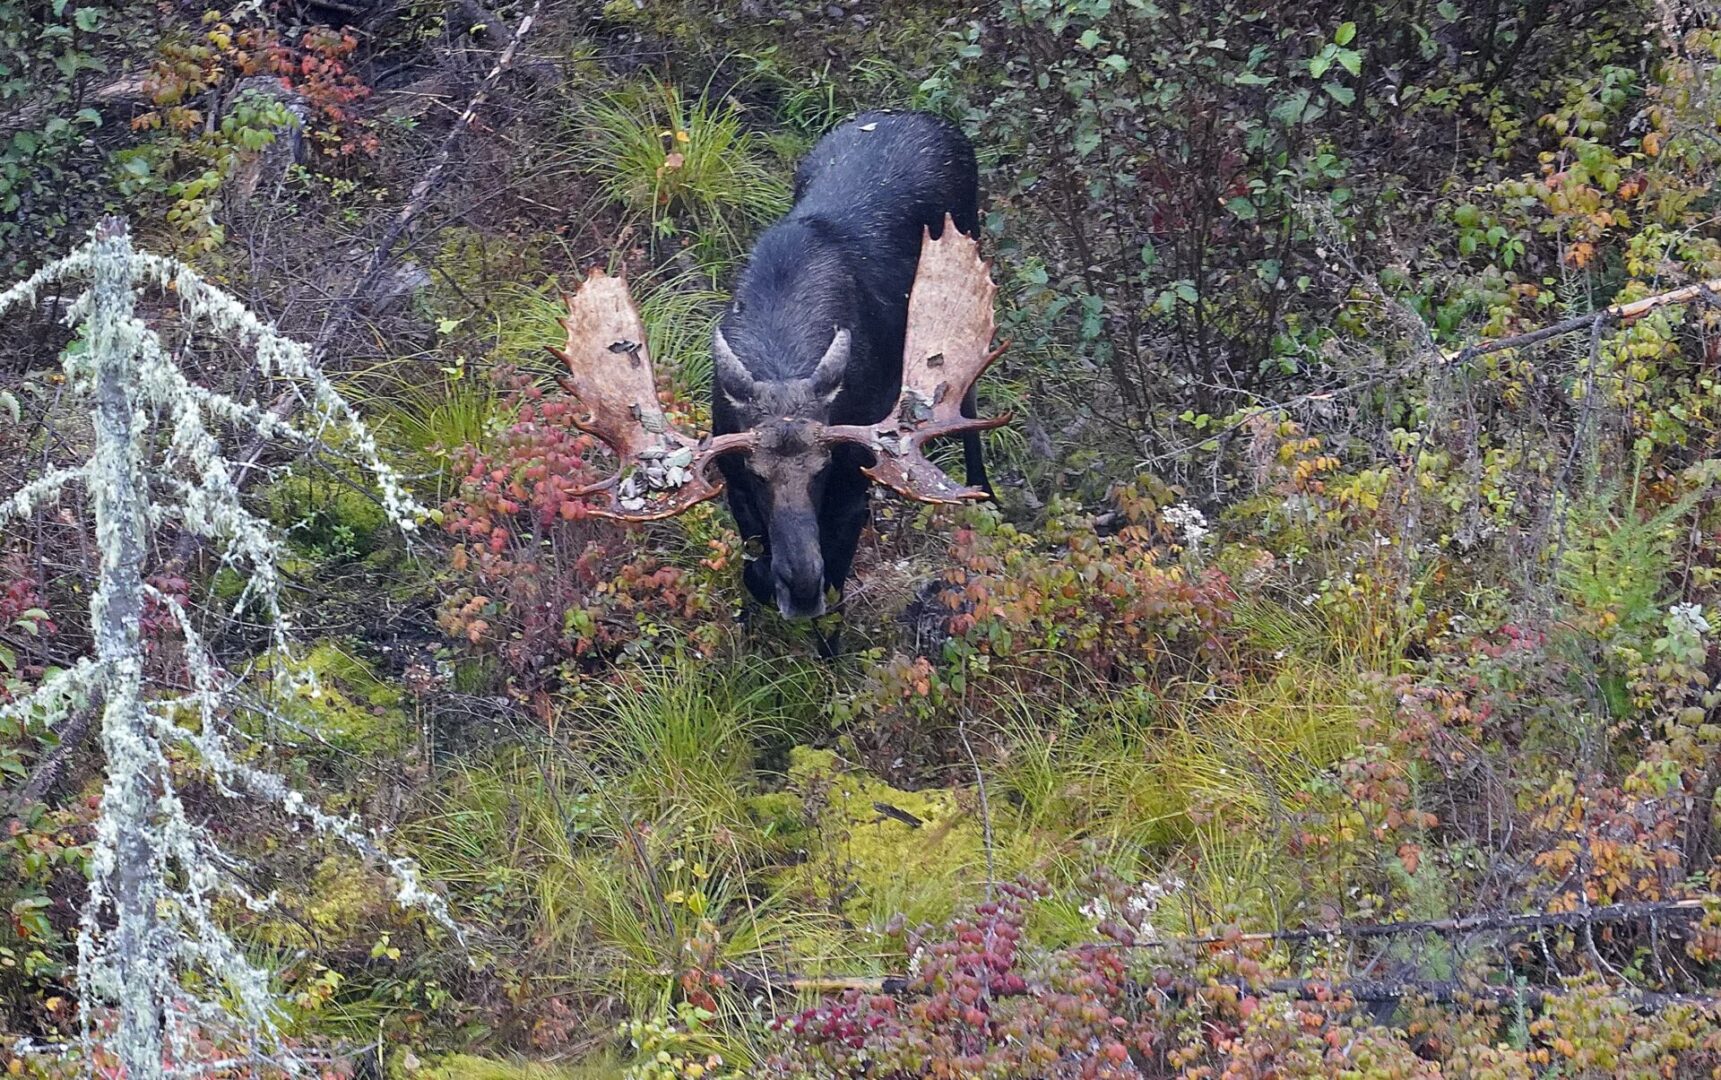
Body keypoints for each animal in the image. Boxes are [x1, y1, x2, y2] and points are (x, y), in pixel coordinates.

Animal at [550, 110, 1005, 625]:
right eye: (757, 474)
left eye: (822, 469)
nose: (802, 585)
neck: (782, 358)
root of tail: (930, 119)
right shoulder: (735, 488)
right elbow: (754, 574)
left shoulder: (856, 482)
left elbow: (836, 591)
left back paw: (983, 490)